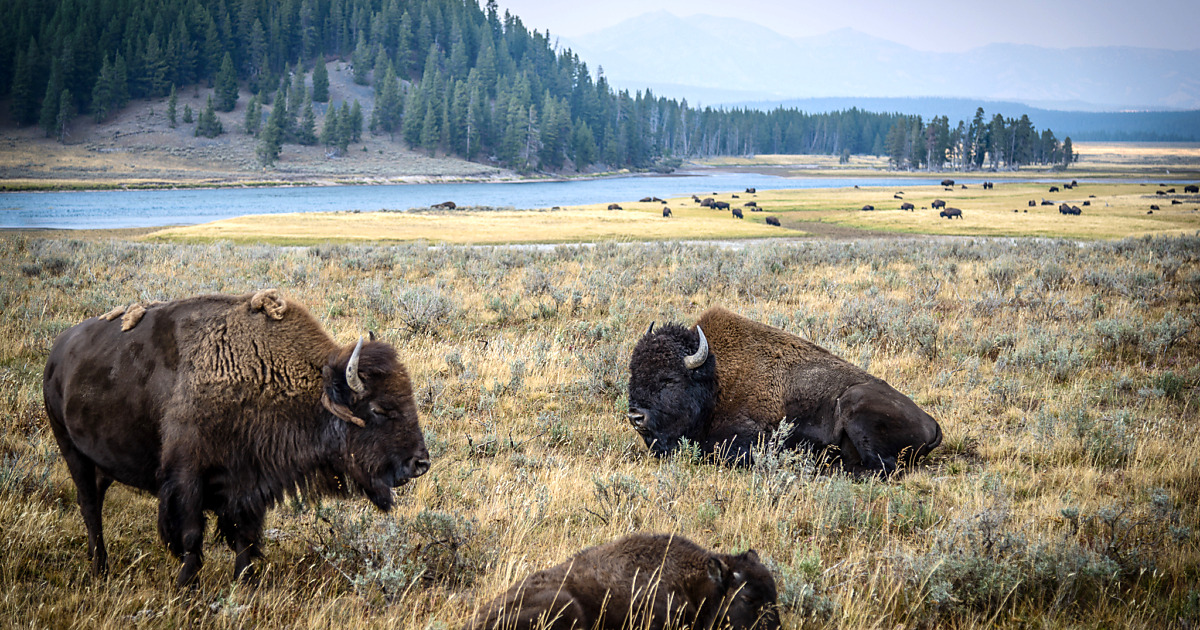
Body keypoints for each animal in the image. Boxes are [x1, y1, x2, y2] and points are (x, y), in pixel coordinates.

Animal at [42, 290, 432, 585]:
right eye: (380, 409)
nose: (421, 463)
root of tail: (58, 353)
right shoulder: (187, 477)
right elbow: (191, 535)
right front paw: (186, 586)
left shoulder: (249, 483)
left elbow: (245, 536)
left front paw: (244, 582)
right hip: (71, 450)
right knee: (89, 507)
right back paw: (100, 568)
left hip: (100, 464)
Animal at [624, 307, 940, 475]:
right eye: (633, 373)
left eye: (669, 379)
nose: (636, 416)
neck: (715, 379)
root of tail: (933, 424)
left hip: (854, 404)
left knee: (880, 467)